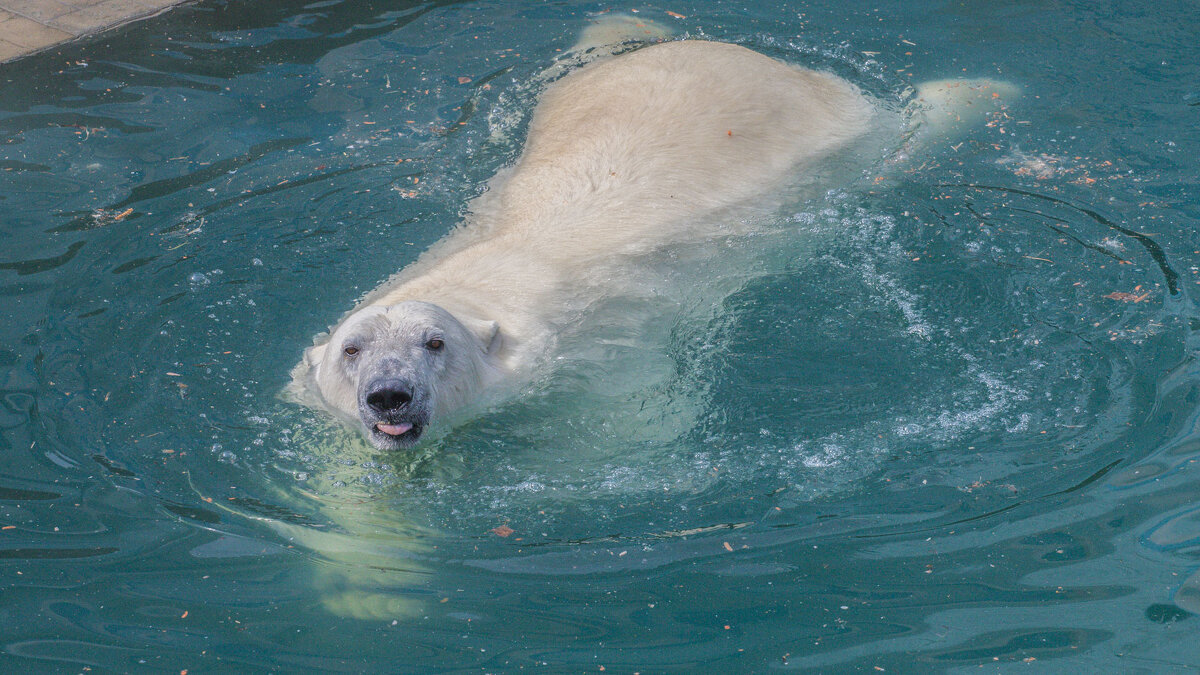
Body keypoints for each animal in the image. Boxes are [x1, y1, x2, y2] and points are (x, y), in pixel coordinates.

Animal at [288, 19, 1012, 446]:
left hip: (840, 134)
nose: (391, 394)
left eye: (435, 342)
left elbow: (630, 420)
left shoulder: (601, 349)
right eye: (353, 349)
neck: (486, 280)